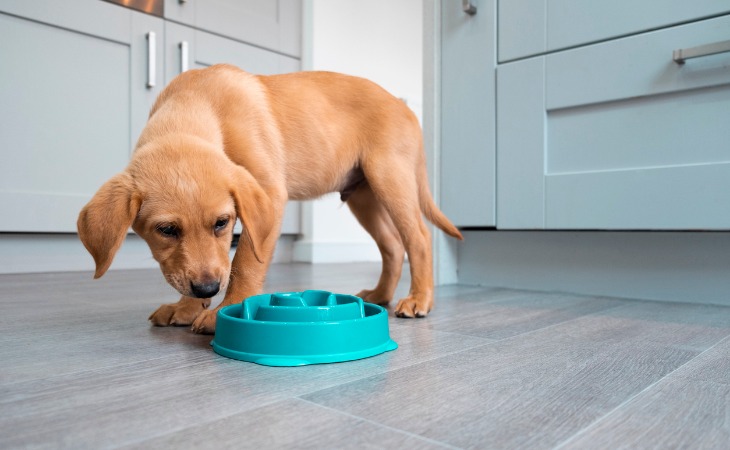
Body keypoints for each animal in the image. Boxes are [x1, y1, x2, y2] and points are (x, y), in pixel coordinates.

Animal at [78, 67, 460, 334]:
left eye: (222, 223)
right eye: (166, 230)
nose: (207, 289)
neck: (197, 103)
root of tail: (404, 106)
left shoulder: (269, 194)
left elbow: (245, 261)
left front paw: (223, 311)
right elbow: (201, 266)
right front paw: (186, 308)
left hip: (390, 177)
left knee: (418, 238)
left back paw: (419, 299)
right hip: (363, 195)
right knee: (393, 245)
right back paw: (380, 294)